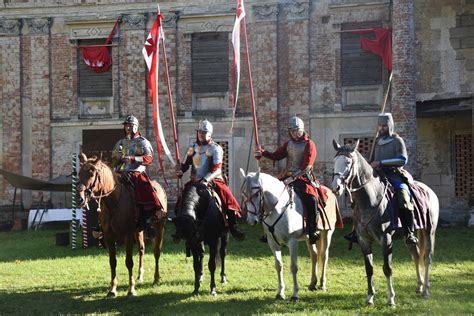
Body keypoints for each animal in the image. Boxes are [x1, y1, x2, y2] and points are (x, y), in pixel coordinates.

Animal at [77, 154, 167, 298]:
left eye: (91, 174)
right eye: (79, 173)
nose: (80, 199)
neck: (113, 201)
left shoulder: (128, 235)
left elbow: (129, 261)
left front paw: (131, 289)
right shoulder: (108, 236)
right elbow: (112, 261)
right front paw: (112, 289)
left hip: (158, 227)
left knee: (156, 251)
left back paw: (156, 278)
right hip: (139, 230)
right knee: (142, 249)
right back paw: (140, 276)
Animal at [241, 169, 340, 300]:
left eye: (257, 194)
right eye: (244, 194)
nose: (251, 220)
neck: (278, 208)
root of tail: (330, 192)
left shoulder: (292, 242)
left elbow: (293, 267)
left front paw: (295, 294)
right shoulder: (273, 243)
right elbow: (278, 265)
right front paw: (280, 293)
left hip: (327, 232)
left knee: (324, 255)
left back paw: (322, 284)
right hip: (309, 237)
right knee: (314, 255)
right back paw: (312, 283)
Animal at [332, 140, 438, 306]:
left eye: (348, 162)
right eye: (334, 162)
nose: (336, 187)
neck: (370, 199)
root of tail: (429, 191)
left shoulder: (386, 239)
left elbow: (387, 268)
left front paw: (391, 299)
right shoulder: (363, 240)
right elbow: (369, 269)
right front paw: (370, 297)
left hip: (429, 231)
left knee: (427, 257)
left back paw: (426, 289)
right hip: (409, 235)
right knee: (416, 254)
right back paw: (419, 286)